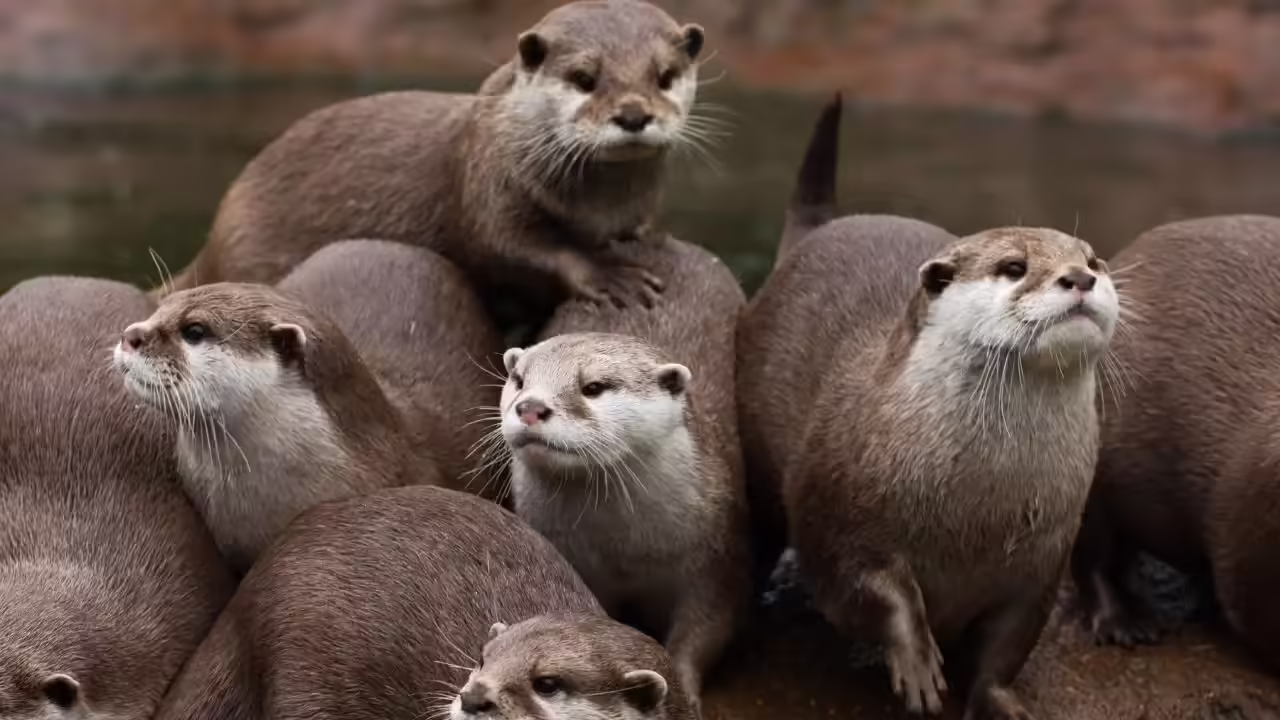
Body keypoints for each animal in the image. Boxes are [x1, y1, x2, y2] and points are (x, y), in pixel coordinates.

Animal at [162, 0, 709, 324]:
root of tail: (215, 239)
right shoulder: (487, 184)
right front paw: (608, 274)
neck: (596, 207)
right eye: (584, 78)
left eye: (664, 76)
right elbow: (510, 245)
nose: (634, 114)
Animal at [497, 236, 751, 716]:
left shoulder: (718, 554)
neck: (628, 550)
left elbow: (706, 629)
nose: (531, 406)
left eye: (594, 387)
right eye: (519, 380)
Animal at [739, 95, 1121, 719]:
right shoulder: (840, 520)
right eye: (1013, 267)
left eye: (1095, 259)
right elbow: (875, 590)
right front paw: (917, 664)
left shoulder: (1040, 568)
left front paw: (1001, 702)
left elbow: (1005, 650)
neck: (981, 513)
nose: (1080, 277)